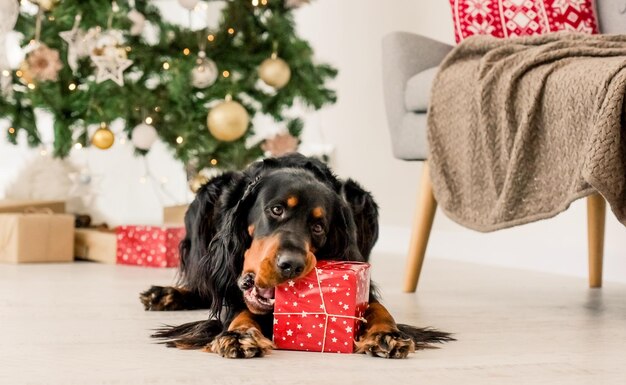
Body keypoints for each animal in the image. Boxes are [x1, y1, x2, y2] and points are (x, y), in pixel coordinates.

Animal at [140, 152, 448, 356]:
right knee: (205, 284)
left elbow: (376, 307)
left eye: (318, 226)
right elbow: (238, 307)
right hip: (203, 198)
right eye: (276, 210)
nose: (291, 265)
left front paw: (387, 333)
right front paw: (239, 334)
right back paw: (167, 294)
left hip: (362, 198)